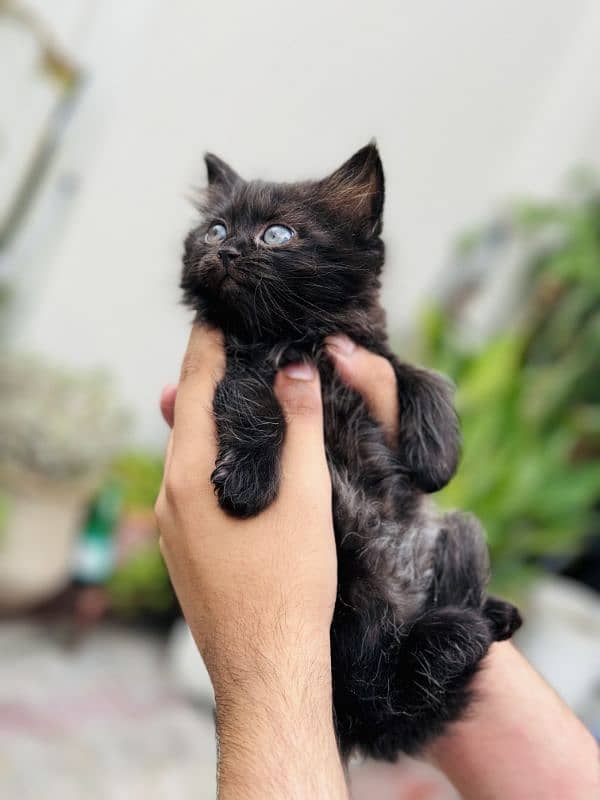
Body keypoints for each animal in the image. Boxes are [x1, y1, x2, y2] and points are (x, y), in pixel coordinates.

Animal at [179, 144, 520, 764]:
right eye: (214, 228)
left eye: (277, 234)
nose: (226, 248)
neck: (301, 336)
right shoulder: (240, 364)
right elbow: (255, 402)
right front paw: (248, 482)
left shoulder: (368, 350)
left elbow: (421, 374)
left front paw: (437, 454)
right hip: (352, 596)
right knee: (385, 674)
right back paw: (465, 626)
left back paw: (488, 613)